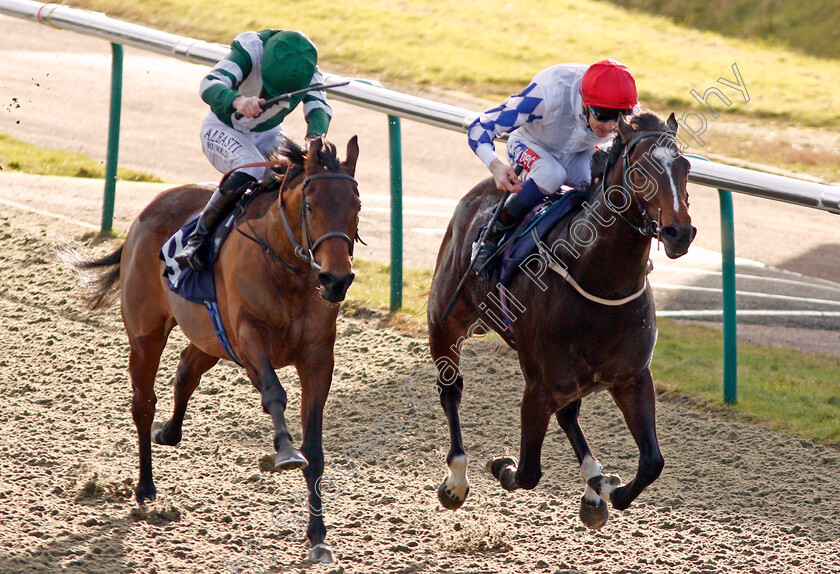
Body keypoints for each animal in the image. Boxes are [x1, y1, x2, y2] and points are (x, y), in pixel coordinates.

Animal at [71, 136, 358, 564]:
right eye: (310, 206)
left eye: (356, 206)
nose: (336, 280)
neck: (284, 265)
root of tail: (149, 209)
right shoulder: (249, 338)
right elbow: (274, 394)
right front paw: (286, 451)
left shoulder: (318, 358)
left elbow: (316, 448)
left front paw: (319, 536)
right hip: (145, 334)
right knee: (143, 403)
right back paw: (144, 486)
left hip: (207, 337)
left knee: (186, 371)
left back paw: (168, 432)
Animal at [426, 112, 696, 532]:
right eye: (639, 171)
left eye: (685, 167)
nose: (679, 232)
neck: (598, 279)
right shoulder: (539, 388)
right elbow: (526, 473)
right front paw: (501, 465)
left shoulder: (632, 378)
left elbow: (652, 462)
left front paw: (608, 489)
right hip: (445, 322)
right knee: (451, 391)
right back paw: (456, 479)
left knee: (570, 415)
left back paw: (594, 485)